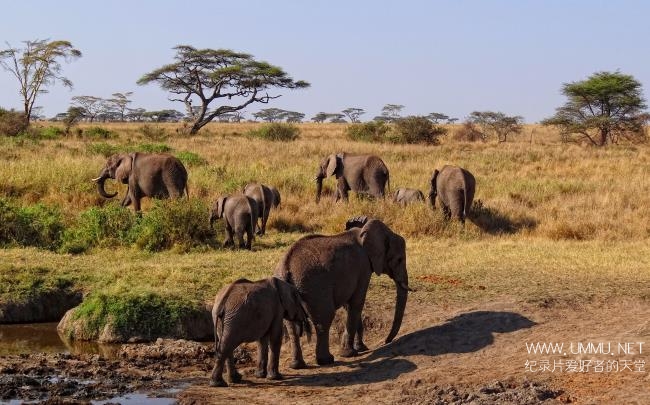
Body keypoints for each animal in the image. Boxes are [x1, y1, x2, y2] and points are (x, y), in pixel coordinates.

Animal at [274, 218, 410, 366]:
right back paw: (326, 360)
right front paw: (349, 354)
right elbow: (357, 302)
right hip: (314, 288)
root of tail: (286, 267)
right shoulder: (363, 267)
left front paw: (361, 348)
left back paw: (297, 365)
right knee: (324, 319)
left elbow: (349, 305)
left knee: (291, 326)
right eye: (399, 259)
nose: (387, 341)